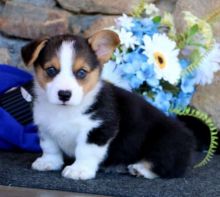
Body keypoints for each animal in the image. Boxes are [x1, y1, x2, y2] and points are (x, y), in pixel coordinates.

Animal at [21, 29, 195, 180]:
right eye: (51, 70)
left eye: (82, 72)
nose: (64, 94)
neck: (65, 111)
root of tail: (188, 138)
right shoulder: (45, 127)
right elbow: (49, 147)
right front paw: (48, 162)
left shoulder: (98, 128)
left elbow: (86, 151)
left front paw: (79, 170)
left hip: (164, 142)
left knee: (167, 166)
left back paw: (140, 168)